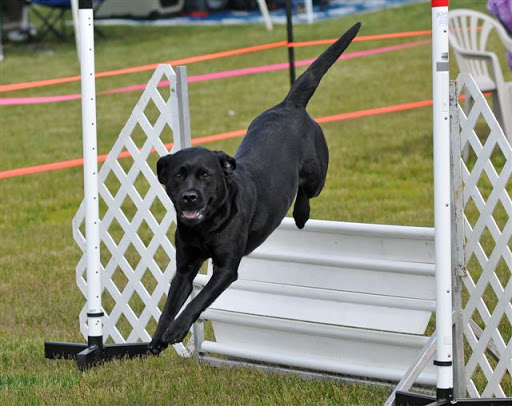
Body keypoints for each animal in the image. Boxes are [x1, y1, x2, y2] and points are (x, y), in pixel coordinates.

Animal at [150, 22, 362, 354]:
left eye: (205, 175)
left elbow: (197, 301)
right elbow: (171, 304)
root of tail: (289, 105)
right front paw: (158, 338)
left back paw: (301, 215)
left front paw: (177, 330)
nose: (189, 197)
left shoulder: (226, 268)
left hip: (317, 173)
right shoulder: (185, 265)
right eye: (178, 175)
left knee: (306, 191)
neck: (207, 226)